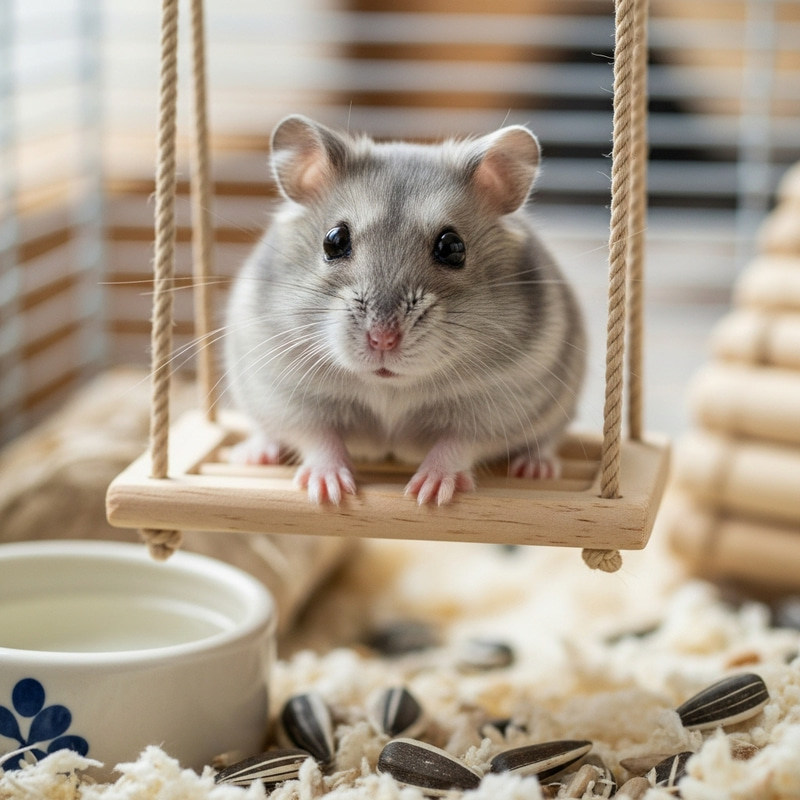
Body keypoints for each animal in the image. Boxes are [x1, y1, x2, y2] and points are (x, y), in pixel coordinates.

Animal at [225, 114, 586, 505]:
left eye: (452, 247)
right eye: (334, 240)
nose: (383, 340)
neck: (390, 389)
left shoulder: (499, 405)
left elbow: (458, 444)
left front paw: (428, 493)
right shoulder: (288, 393)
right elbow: (318, 437)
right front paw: (330, 492)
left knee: (544, 441)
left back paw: (536, 468)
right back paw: (252, 454)